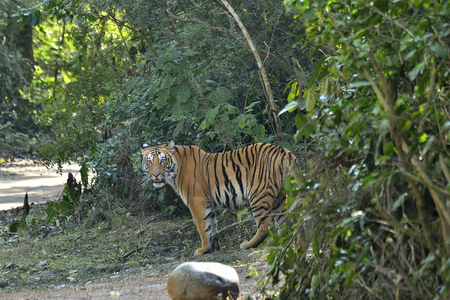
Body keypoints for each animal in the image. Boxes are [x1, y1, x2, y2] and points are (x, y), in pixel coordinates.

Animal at [139, 141, 298, 255]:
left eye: (162, 161)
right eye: (149, 162)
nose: (155, 175)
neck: (175, 169)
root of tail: (286, 152)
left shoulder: (197, 201)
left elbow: (202, 227)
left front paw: (203, 250)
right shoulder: (210, 203)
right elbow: (212, 225)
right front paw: (214, 246)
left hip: (258, 194)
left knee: (265, 225)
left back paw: (248, 244)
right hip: (279, 196)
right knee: (285, 221)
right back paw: (283, 239)